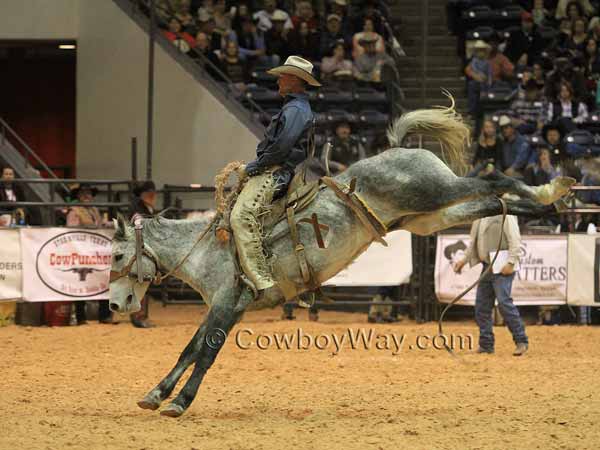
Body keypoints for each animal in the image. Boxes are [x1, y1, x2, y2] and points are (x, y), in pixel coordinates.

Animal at [109, 103, 576, 418]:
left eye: (115, 254)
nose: (116, 304)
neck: (211, 246)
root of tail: (398, 150)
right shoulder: (223, 308)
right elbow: (189, 349)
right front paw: (155, 395)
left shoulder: (229, 303)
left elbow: (205, 354)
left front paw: (180, 403)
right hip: (430, 216)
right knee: (493, 202)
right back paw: (546, 205)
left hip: (436, 192)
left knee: (493, 178)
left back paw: (552, 189)